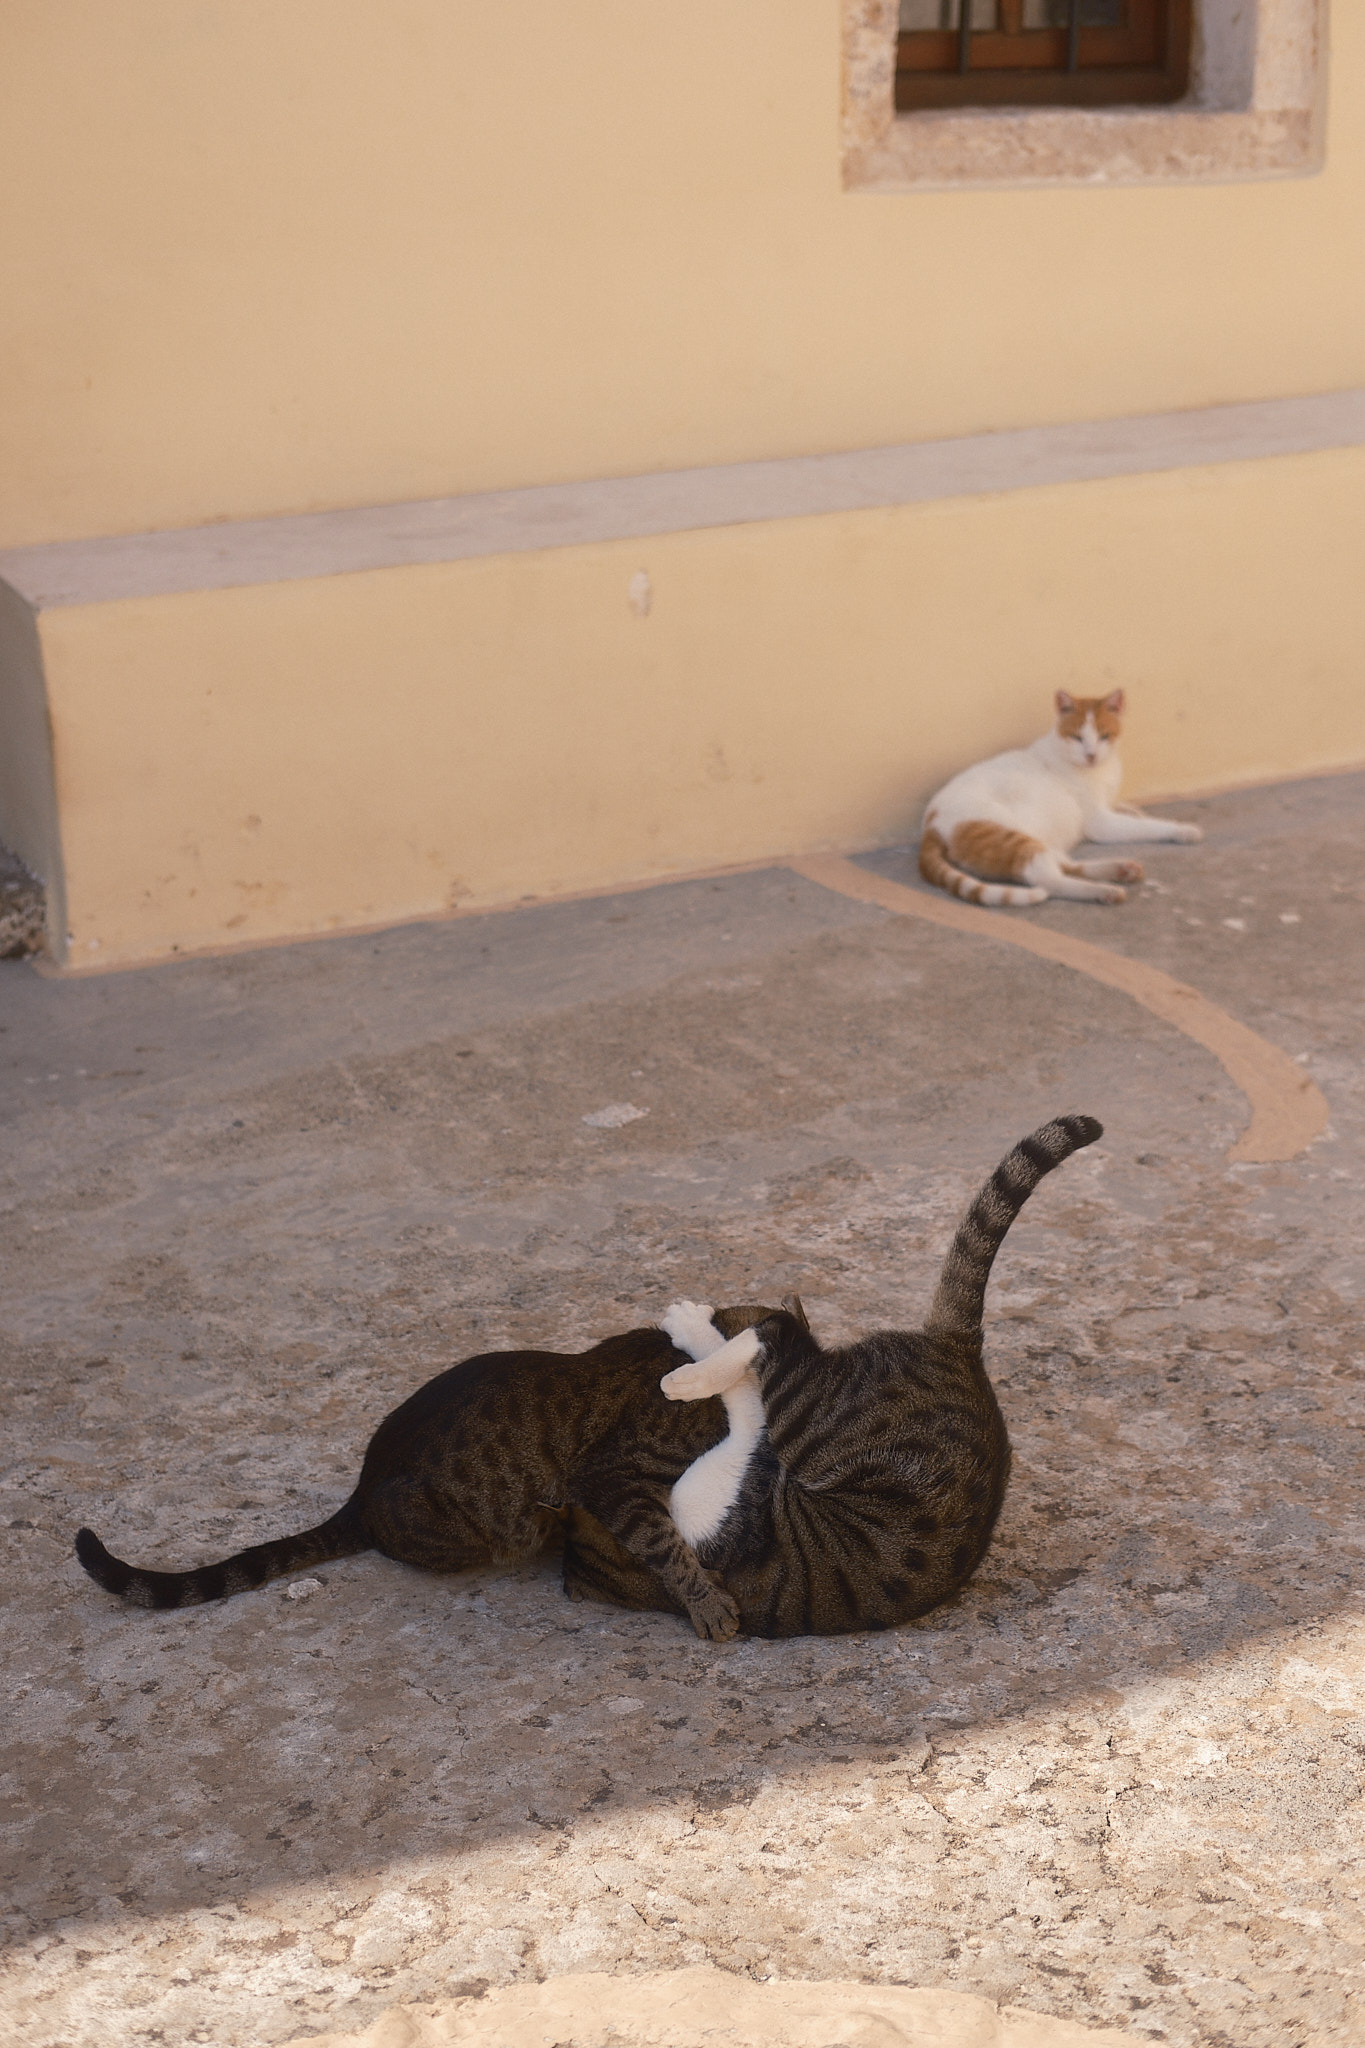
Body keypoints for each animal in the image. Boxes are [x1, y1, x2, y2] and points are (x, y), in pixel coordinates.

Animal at [925, 692, 1203, 909]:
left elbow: (1129, 811)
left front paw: (1134, 809)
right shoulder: (1101, 823)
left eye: (1104, 736)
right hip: (1010, 837)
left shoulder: (1106, 804)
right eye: (1077, 737)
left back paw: (1119, 870)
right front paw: (1183, 830)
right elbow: (1149, 825)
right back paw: (1103, 890)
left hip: (1039, 840)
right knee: (1050, 881)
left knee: (1067, 865)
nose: (1091, 755)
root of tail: (929, 821)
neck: (1101, 768)